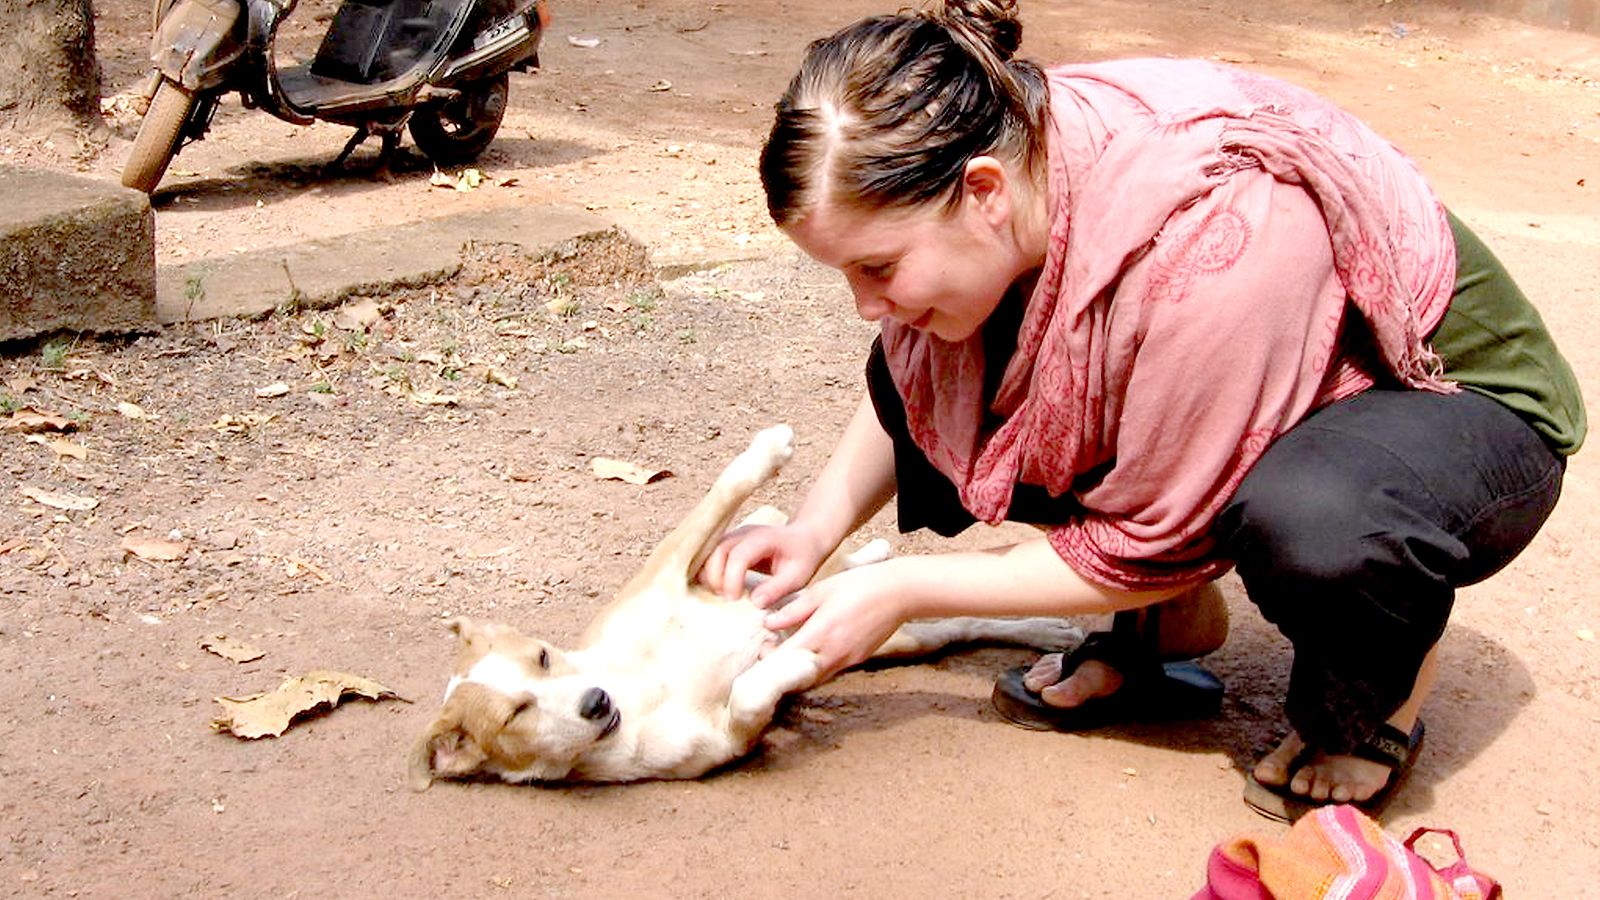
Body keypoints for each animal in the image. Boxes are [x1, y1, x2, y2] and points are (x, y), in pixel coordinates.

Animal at [409, 422, 1088, 781]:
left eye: (545, 656)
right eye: (515, 716)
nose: (595, 701)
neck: (637, 689)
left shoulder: (671, 569)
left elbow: (717, 498)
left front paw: (766, 450)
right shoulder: (728, 741)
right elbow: (750, 694)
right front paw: (791, 662)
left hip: (768, 559)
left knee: (800, 546)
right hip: (893, 633)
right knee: (958, 621)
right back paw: (1048, 635)